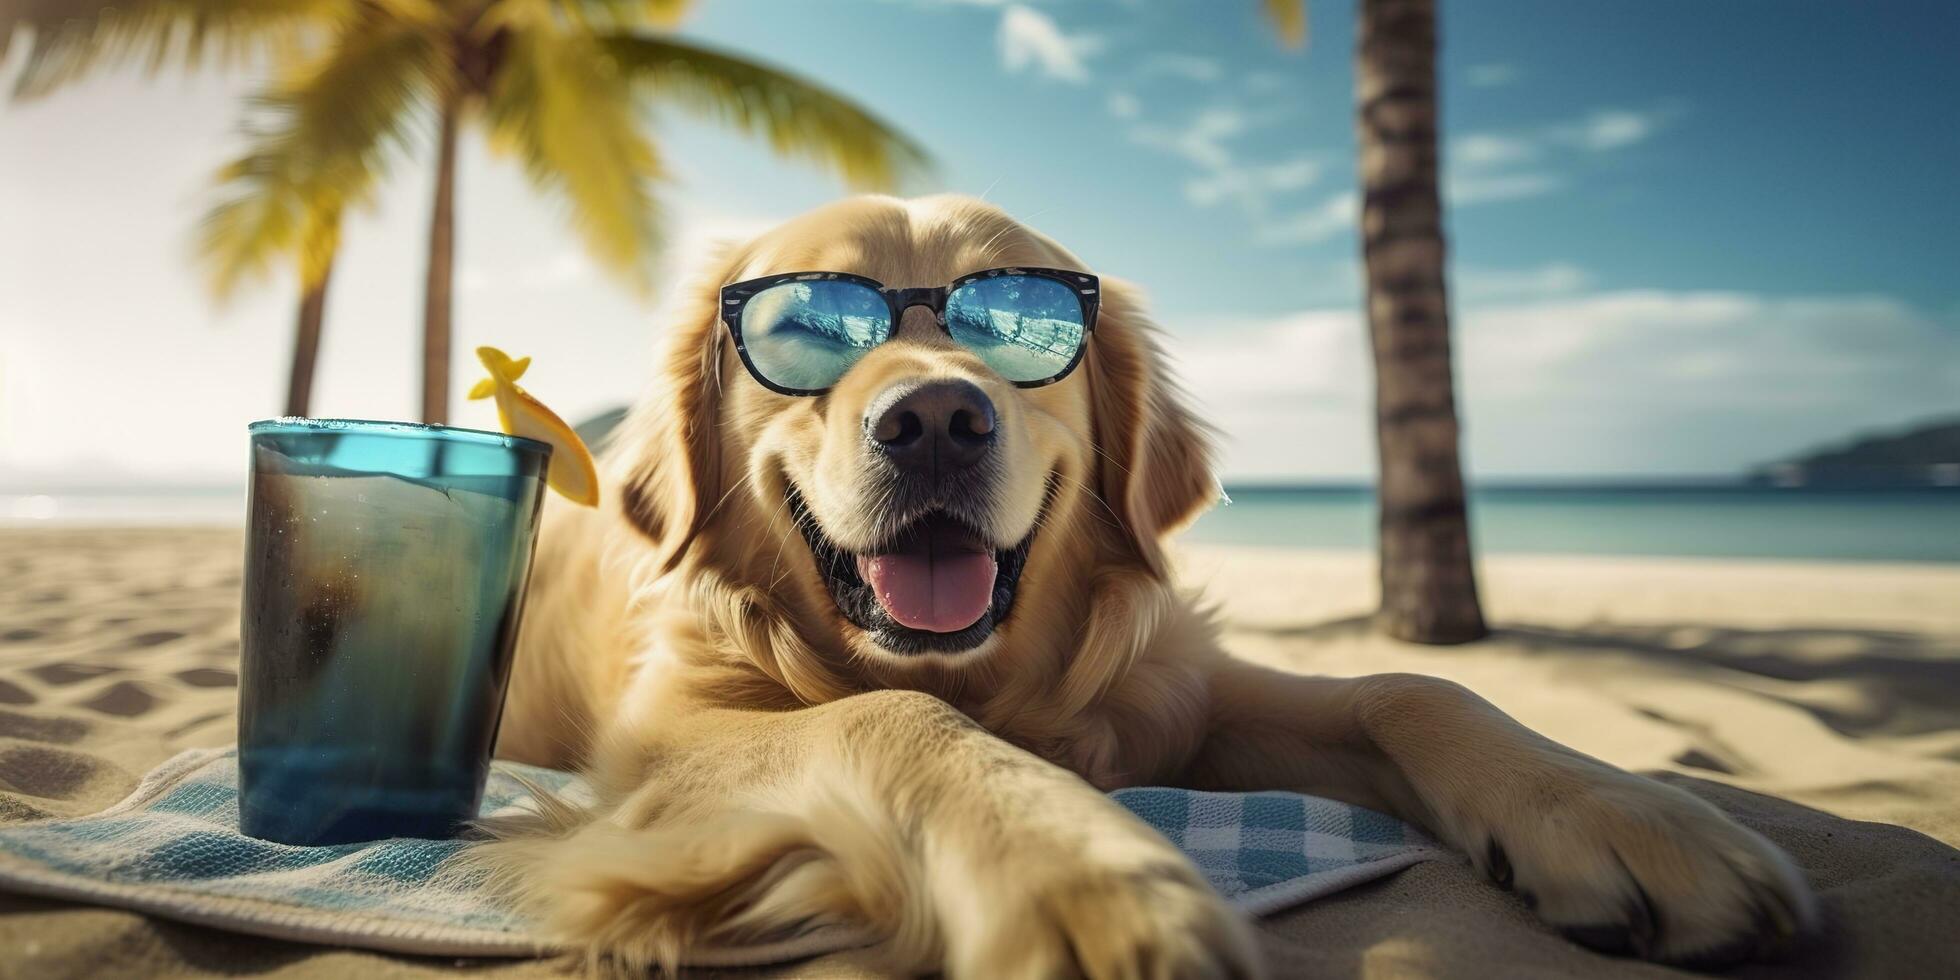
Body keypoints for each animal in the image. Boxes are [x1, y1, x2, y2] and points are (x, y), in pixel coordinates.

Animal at [482, 195, 1811, 976]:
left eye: (1020, 326)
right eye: (808, 327)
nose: (934, 421)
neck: (991, 672)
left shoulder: (1181, 690)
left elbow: (1407, 687)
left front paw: (1625, 813)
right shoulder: (659, 744)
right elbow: (895, 713)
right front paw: (1080, 875)